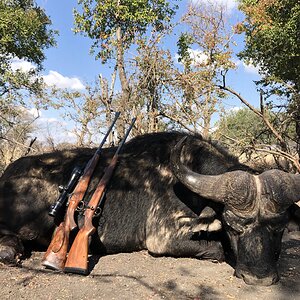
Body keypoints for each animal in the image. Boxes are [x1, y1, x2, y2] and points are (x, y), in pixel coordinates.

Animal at [0, 132, 298, 286]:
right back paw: (9, 251)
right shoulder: (163, 238)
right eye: (233, 226)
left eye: (280, 227)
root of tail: (7, 177)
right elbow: (217, 249)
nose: (259, 278)